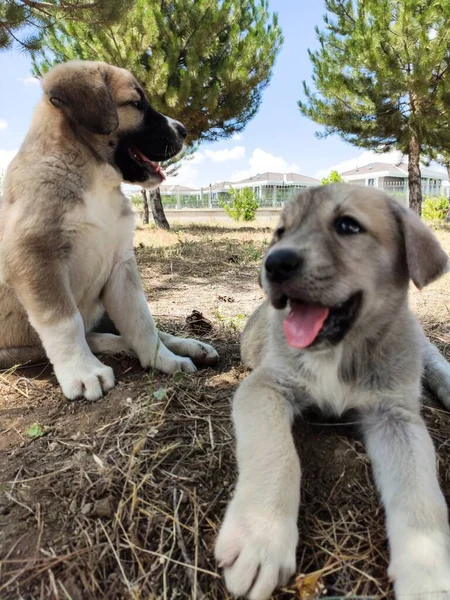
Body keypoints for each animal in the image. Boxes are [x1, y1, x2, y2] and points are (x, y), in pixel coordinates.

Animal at [0, 59, 218, 404]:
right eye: (137, 104)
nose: (184, 130)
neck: (93, 179)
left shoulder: (120, 266)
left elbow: (141, 321)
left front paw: (163, 359)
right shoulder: (34, 259)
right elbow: (65, 322)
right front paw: (82, 371)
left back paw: (190, 346)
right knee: (91, 335)